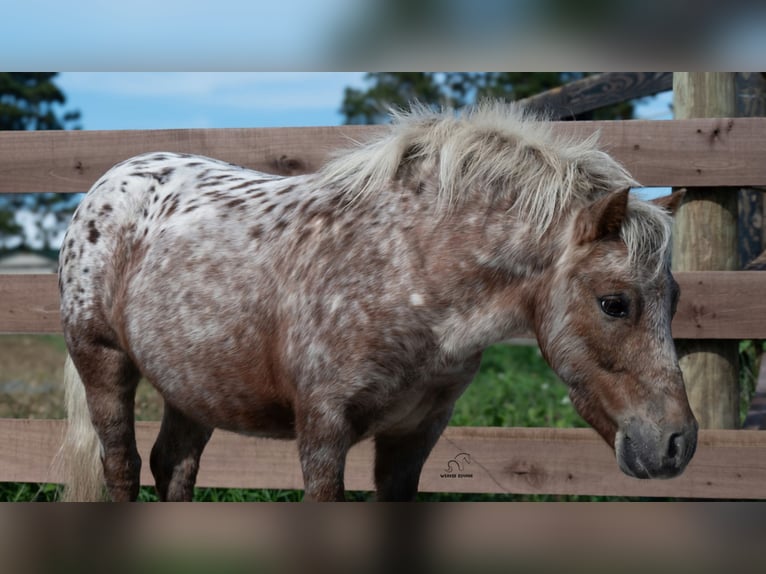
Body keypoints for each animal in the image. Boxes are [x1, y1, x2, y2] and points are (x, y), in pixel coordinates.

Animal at [55, 102, 698, 501]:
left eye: (674, 299)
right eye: (614, 303)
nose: (677, 445)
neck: (410, 268)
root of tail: (111, 181)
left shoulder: (415, 436)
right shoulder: (322, 433)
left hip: (192, 388)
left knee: (173, 468)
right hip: (104, 365)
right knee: (122, 467)